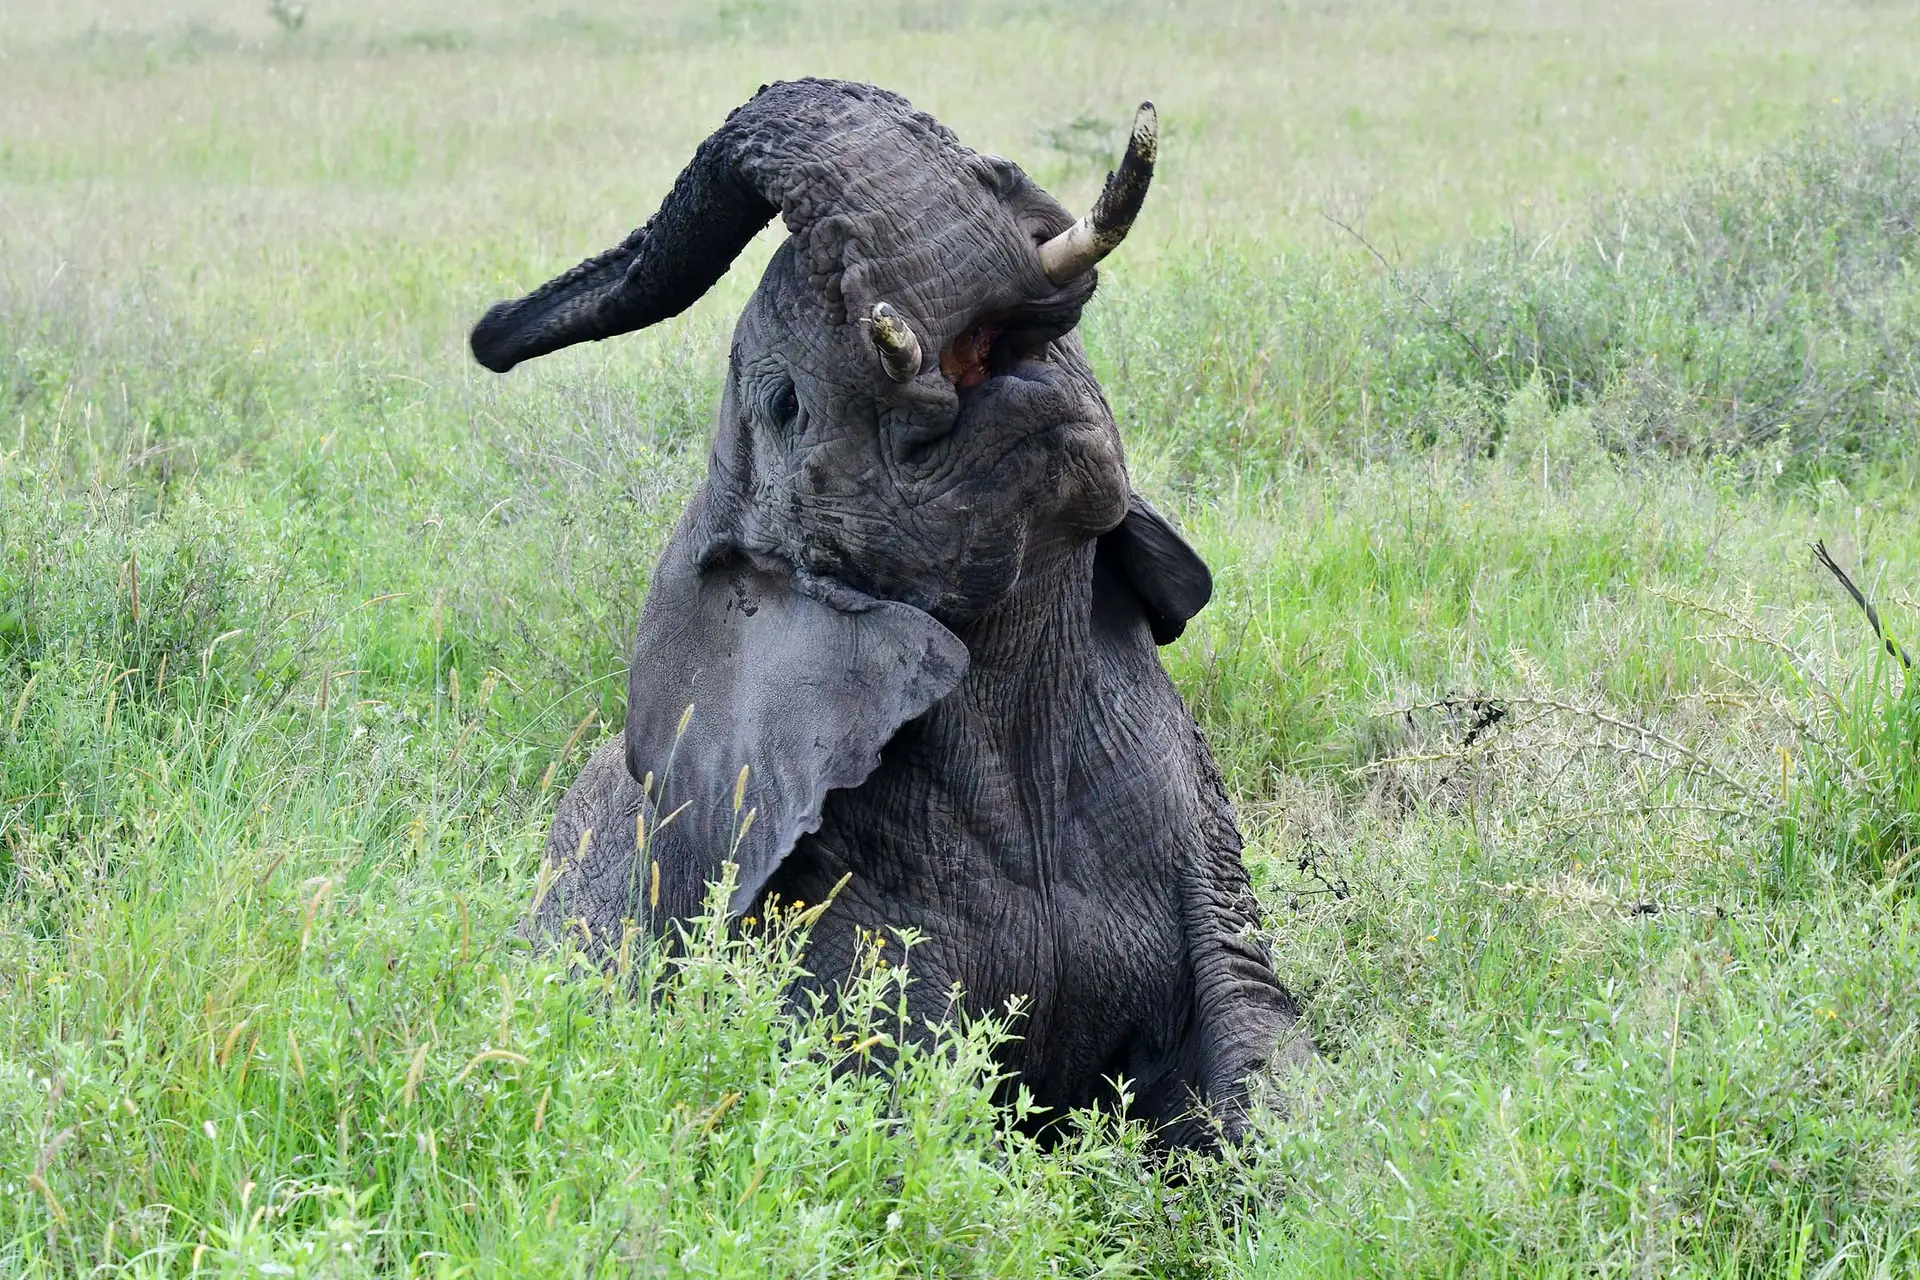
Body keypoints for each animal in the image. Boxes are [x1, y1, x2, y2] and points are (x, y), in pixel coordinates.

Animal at [472, 80, 1305, 1151]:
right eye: (787, 404)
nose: (486, 334)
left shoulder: (1196, 822)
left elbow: (1264, 1064)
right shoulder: (811, 897)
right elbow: (896, 1117)